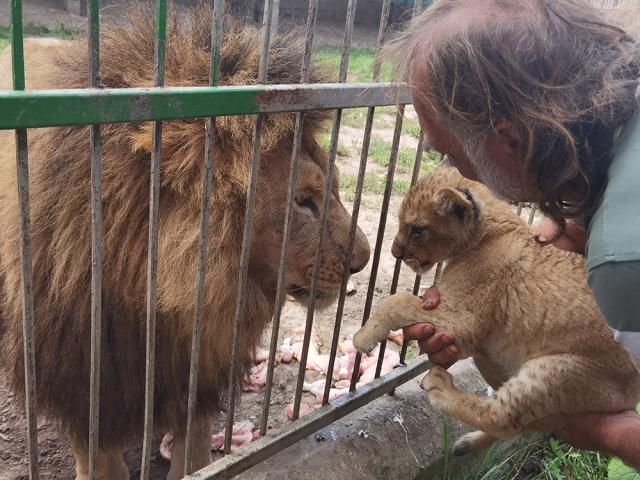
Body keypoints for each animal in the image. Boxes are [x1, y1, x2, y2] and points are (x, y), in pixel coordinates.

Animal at [0, 4, 370, 480]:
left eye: (337, 187)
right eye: (302, 200)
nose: (364, 260)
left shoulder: (199, 373)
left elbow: (193, 454)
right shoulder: (83, 386)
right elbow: (100, 460)